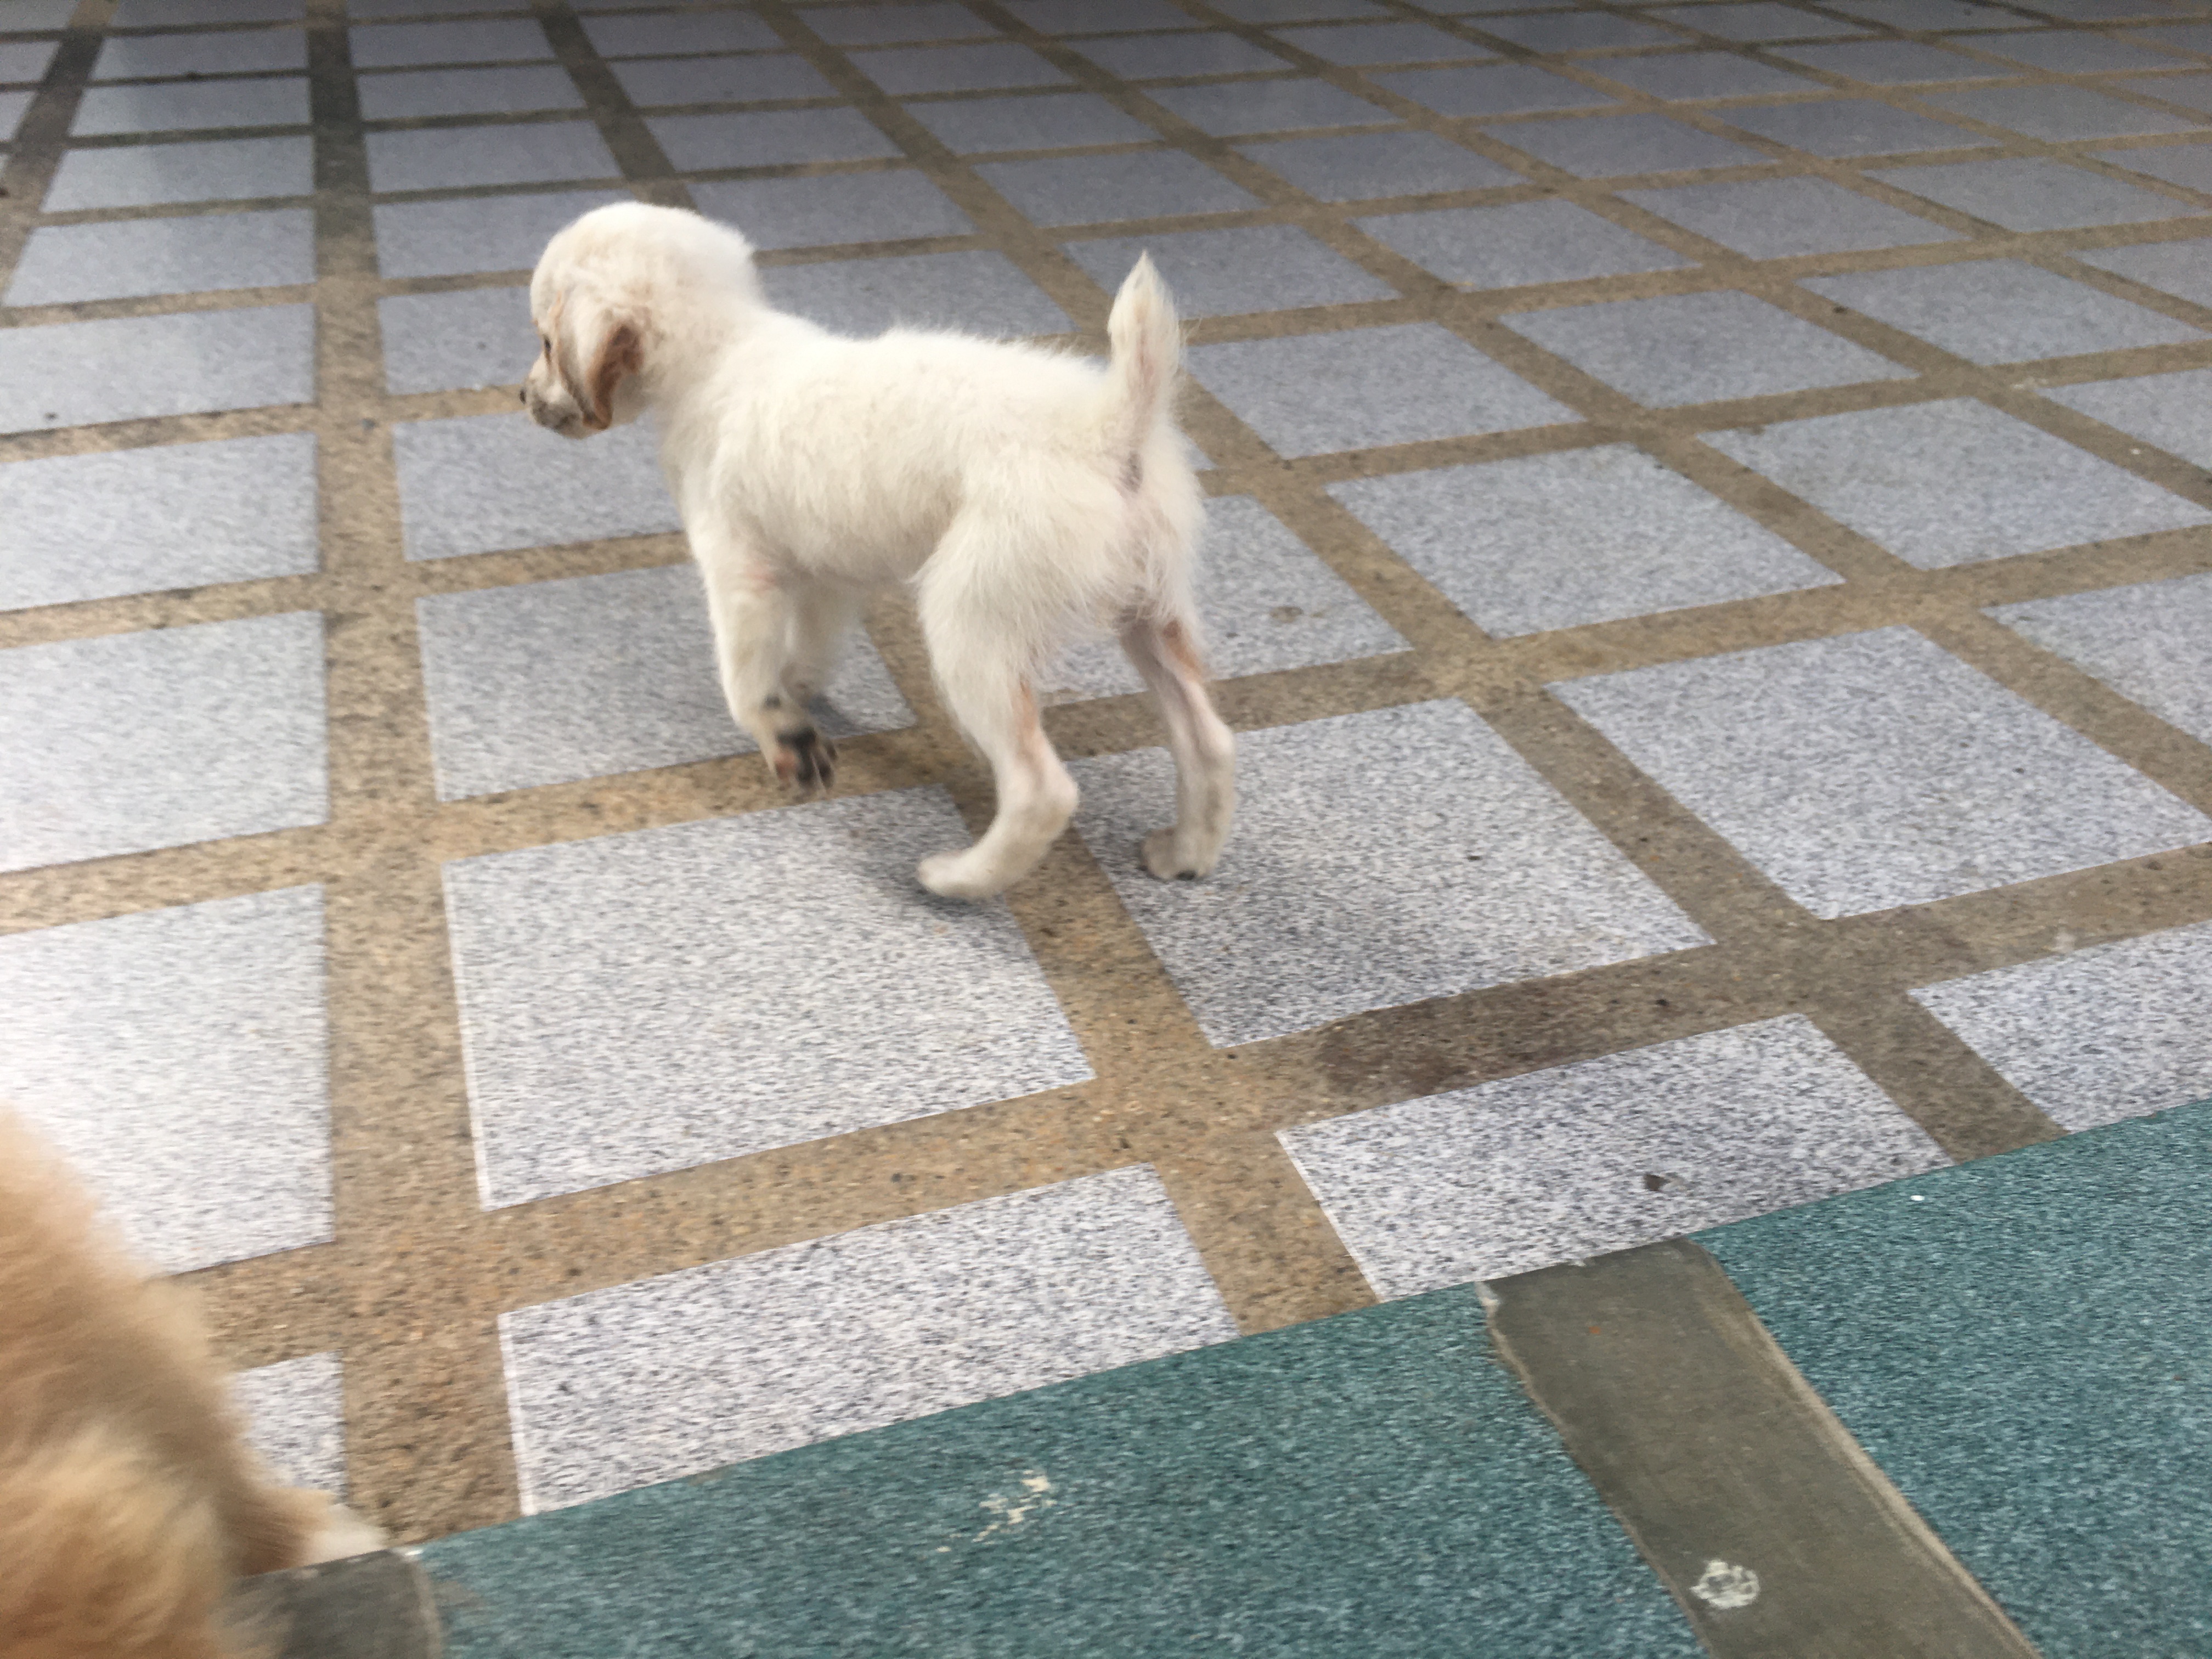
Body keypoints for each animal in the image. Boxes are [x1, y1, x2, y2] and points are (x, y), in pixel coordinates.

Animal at [523, 202, 1235, 901]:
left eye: (547, 343)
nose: (524, 397)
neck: (722, 352)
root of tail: (1108, 428)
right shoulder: (824, 576)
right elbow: (809, 649)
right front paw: (800, 688)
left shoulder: (740, 575)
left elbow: (745, 685)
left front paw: (784, 733)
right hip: (1153, 613)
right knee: (1210, 742)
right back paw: (1186, 855)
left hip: (973, 630)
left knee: (1043, 791)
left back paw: (958, 880)